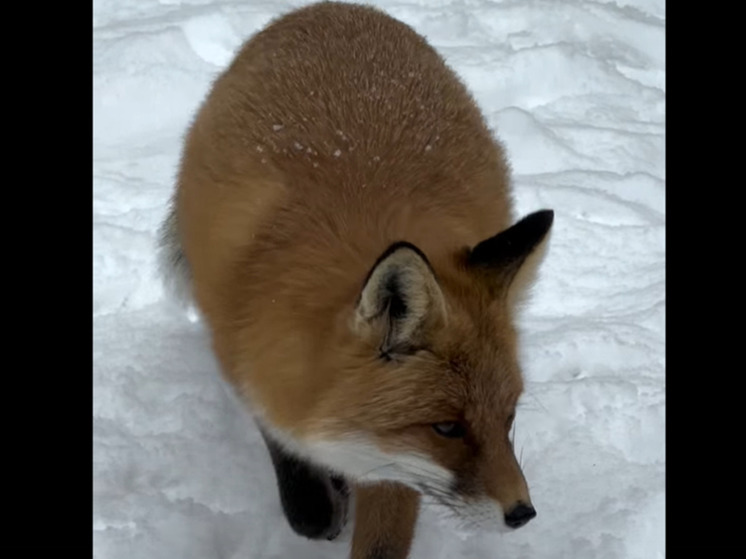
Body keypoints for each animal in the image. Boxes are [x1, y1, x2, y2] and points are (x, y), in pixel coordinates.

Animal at [157, 2, 552, 556]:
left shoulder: (394, 461)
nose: (522, 513)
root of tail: (332, 9)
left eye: (509, 418)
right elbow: (284, 446)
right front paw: (315, 505)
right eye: (446, 427)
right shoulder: (247, 356)